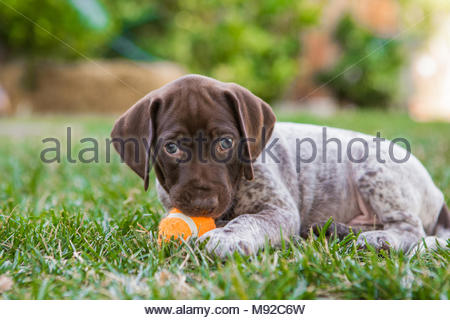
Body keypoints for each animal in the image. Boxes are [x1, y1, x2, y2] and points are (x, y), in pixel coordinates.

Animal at [110, 74, 448, 258]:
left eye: (225, 143)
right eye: (171, 148)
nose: (204, 204)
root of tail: (437, 193)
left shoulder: (279, 211)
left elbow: (247, 221)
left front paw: (226, 238)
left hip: (374, 171)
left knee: (410, 228)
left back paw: (380, 240)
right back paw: (332, 230)